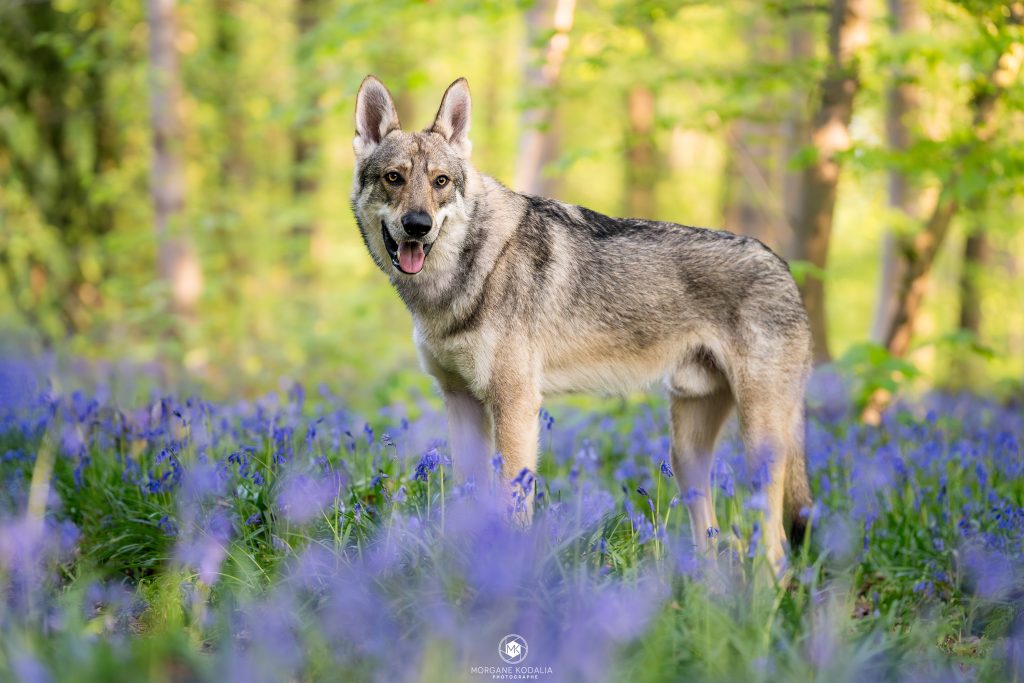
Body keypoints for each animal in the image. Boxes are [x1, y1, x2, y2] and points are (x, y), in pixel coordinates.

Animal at [350, 75, 813, 572]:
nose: (417, 226)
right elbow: (465, 498)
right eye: (394, 177)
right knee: (711, 536)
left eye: (440, 182)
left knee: (775, 545)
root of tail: (784, 268)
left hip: (758, 444)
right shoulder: (460, 402)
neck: (461, 276)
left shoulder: (516, 406)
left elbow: (513, 507)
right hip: (686, 452)